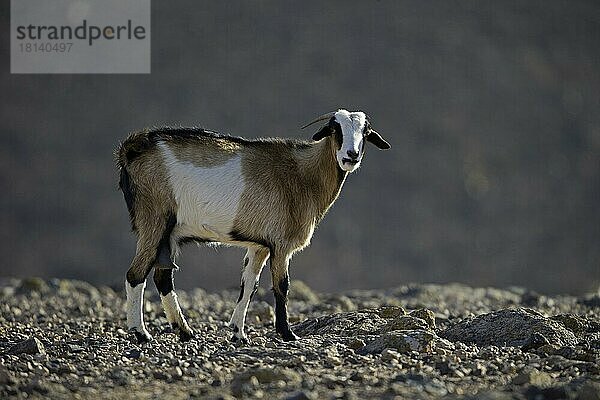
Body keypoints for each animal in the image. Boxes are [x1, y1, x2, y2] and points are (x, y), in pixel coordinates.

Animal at [116, 109, 390, 344]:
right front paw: (287, 333)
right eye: (335, 129)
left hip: (170, 235)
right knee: (135, 274)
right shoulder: (281, 245)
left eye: (365, 132)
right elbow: (281, 286)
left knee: (163, 277)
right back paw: (141, 334)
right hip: (153, 222)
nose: (351, 156)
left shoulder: (259, 247)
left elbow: (249, 285)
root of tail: (133, 148)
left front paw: (238, 333)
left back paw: (185, 331)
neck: (302, 175)